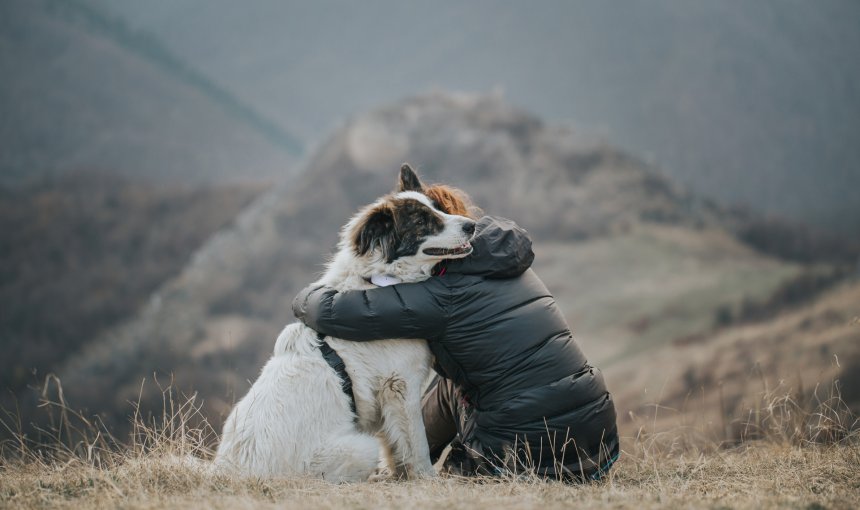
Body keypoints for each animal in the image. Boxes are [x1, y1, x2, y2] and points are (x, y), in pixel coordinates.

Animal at [212, 164, 474, 482]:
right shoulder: (401, 387)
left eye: (439, 209)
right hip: (360, 448)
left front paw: (398, 474)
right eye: (423, 221)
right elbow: (416, 443)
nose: (471, 226)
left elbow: (395, 445)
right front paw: (426, 478)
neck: (379, 280)